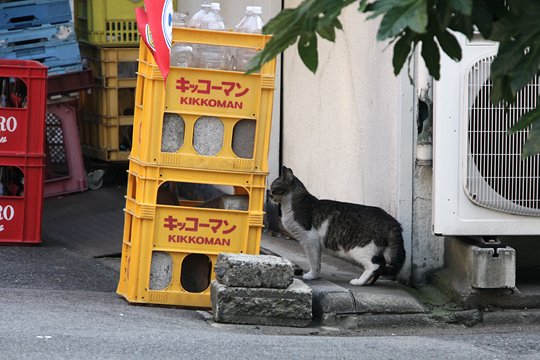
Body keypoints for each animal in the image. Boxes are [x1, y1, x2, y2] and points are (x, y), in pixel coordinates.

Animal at [270, 167, 404, 286]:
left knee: (375, 265)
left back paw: (359, 282)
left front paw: (312, 276)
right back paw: (368, 282)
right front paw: (315, 276)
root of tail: (391, 221)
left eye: (273, 189)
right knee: (380, 265)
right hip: (379, 250)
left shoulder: (310, 241)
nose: (269, 195)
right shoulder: (314, 244)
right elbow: (317, 262)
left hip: (361, 249)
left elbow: (313, 262)